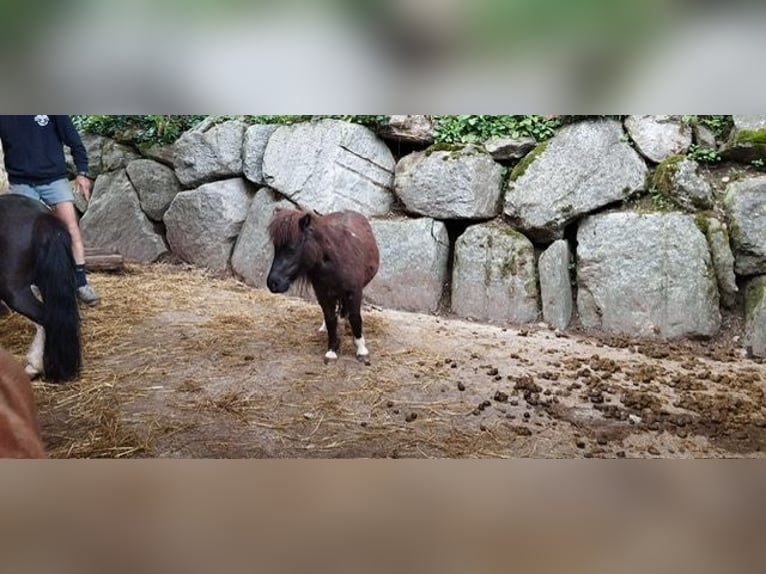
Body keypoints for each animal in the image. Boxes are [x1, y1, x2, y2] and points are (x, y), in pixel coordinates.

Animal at [267, 208, 380, 363]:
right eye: (276, 248)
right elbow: (330, 318)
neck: (335, 262)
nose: (272, 283)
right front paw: (332, 350)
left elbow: (355, 317)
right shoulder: (323, 294)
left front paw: (361, 350)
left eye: (291, 249)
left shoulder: (354, 292)